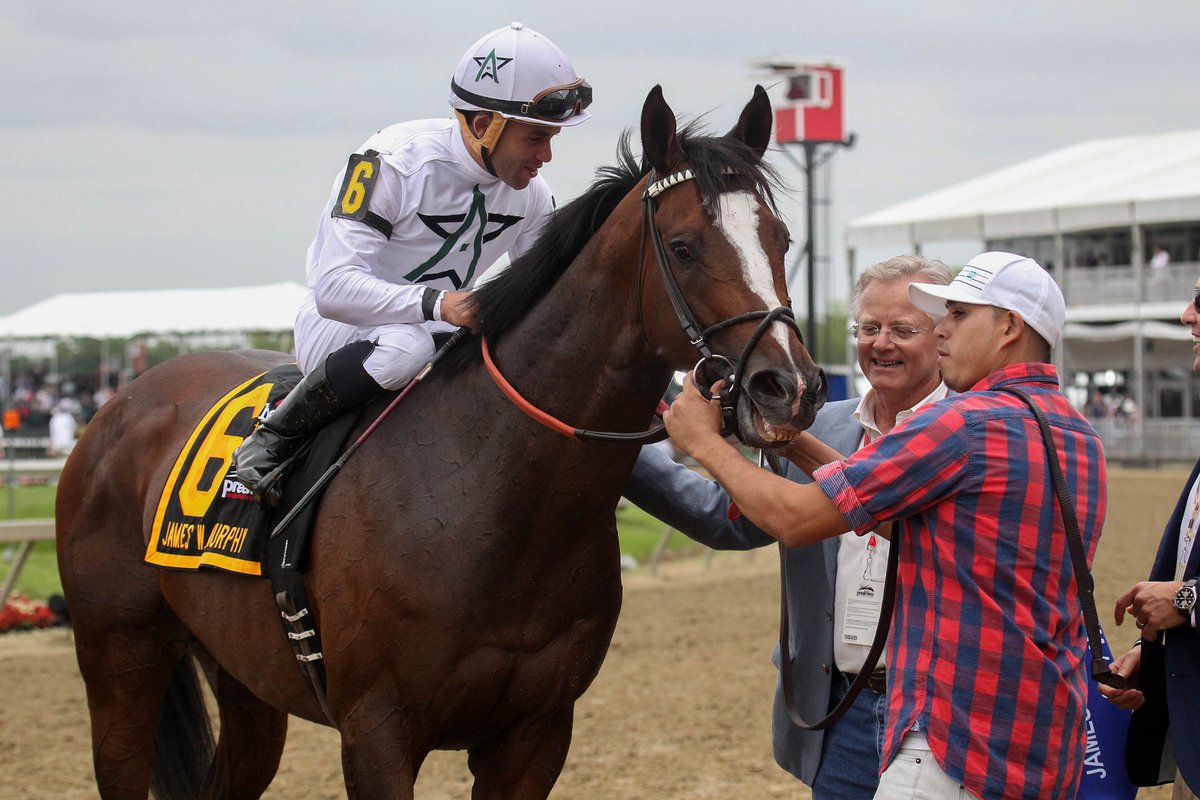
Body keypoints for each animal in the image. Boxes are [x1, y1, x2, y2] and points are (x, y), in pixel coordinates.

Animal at [55, 84, 826, 799]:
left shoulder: (536, 733)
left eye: (782, 239)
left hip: (243, 679)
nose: (788, 388)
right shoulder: (376, 732)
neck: (489, 494)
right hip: (120, 660)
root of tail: (123, 402)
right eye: (684, 247)